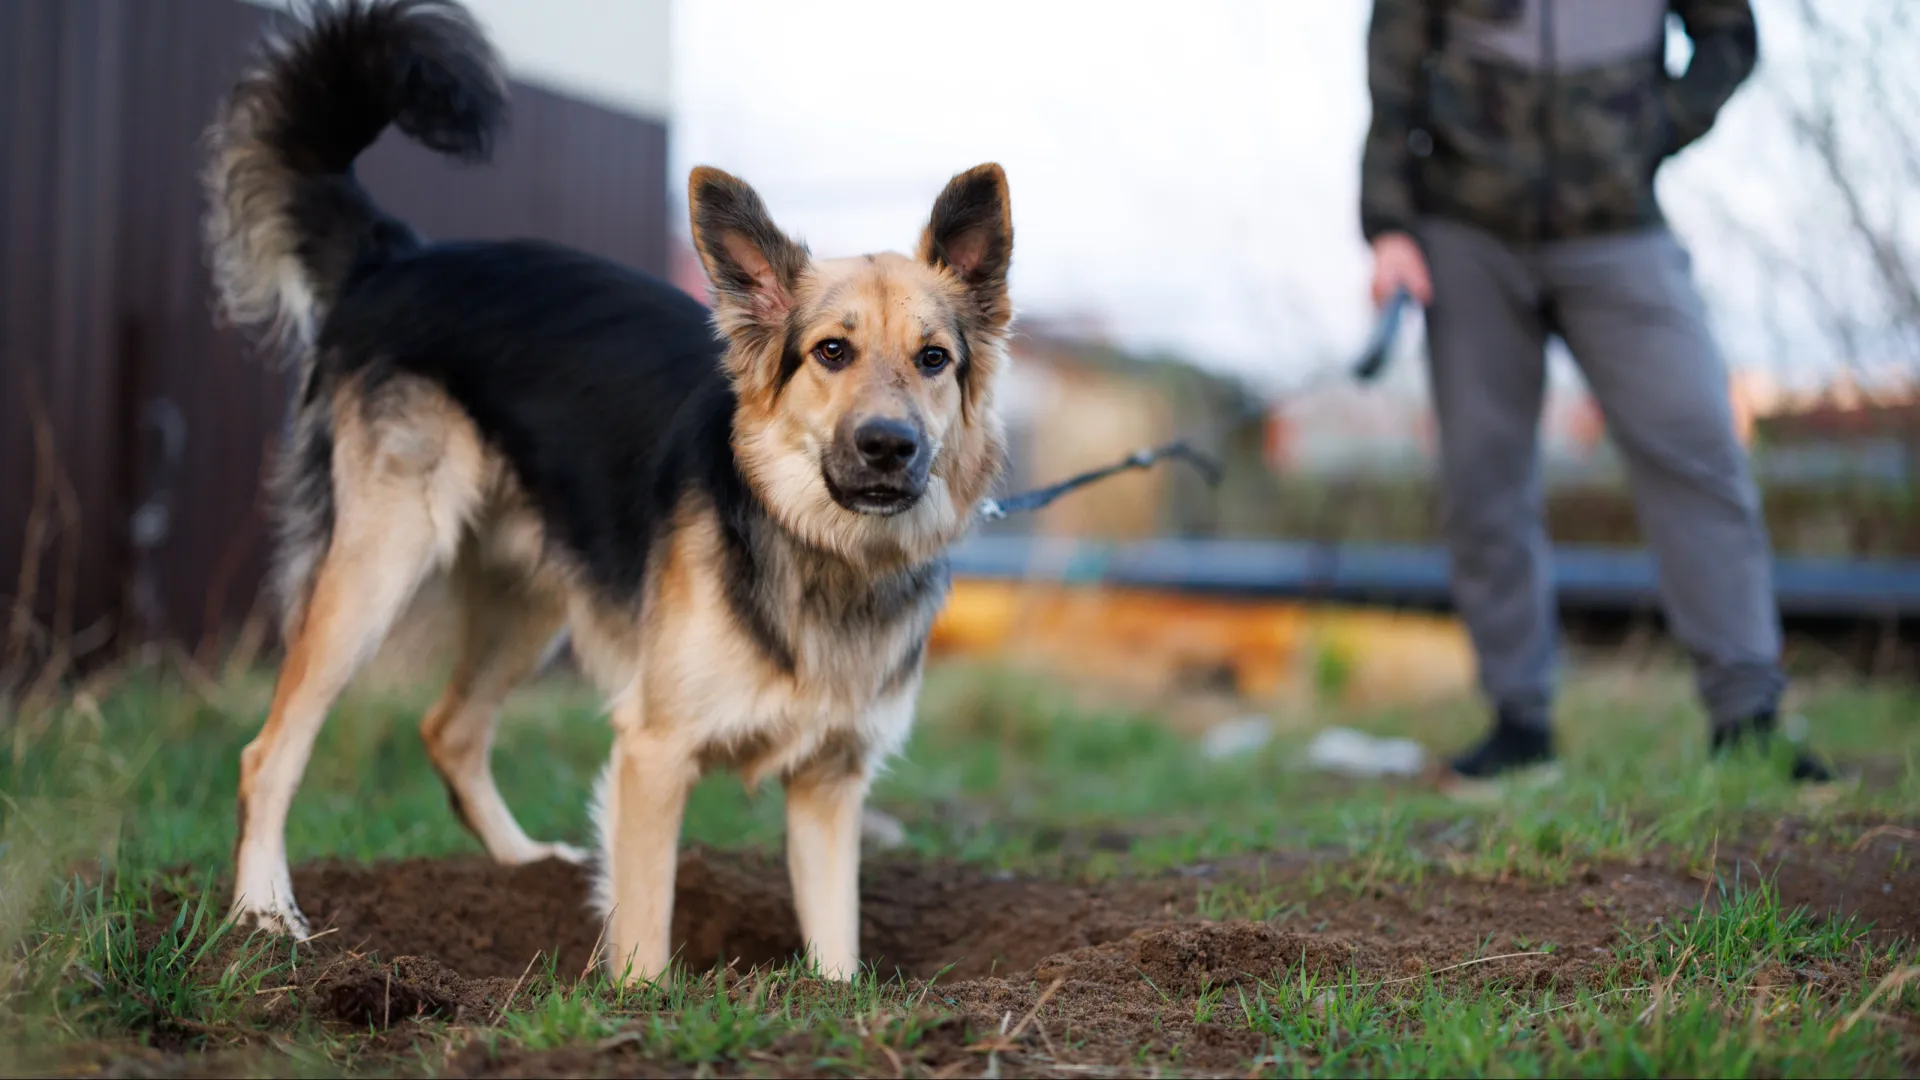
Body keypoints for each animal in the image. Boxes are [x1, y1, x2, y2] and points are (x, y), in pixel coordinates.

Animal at [202, 0, 1013, 976]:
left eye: (933, 360)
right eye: (831, 352)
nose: (890, 447)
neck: (816, 547)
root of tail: (397, 255)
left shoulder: (829, 782)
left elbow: (836, 945)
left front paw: (838, 1000)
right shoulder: (655, 754)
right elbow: (644, 930)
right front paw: (641, 998)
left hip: (531, 593)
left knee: (450, 729)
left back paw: (524, 868)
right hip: (378, 562)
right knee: (267, 750)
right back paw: (263, 912)